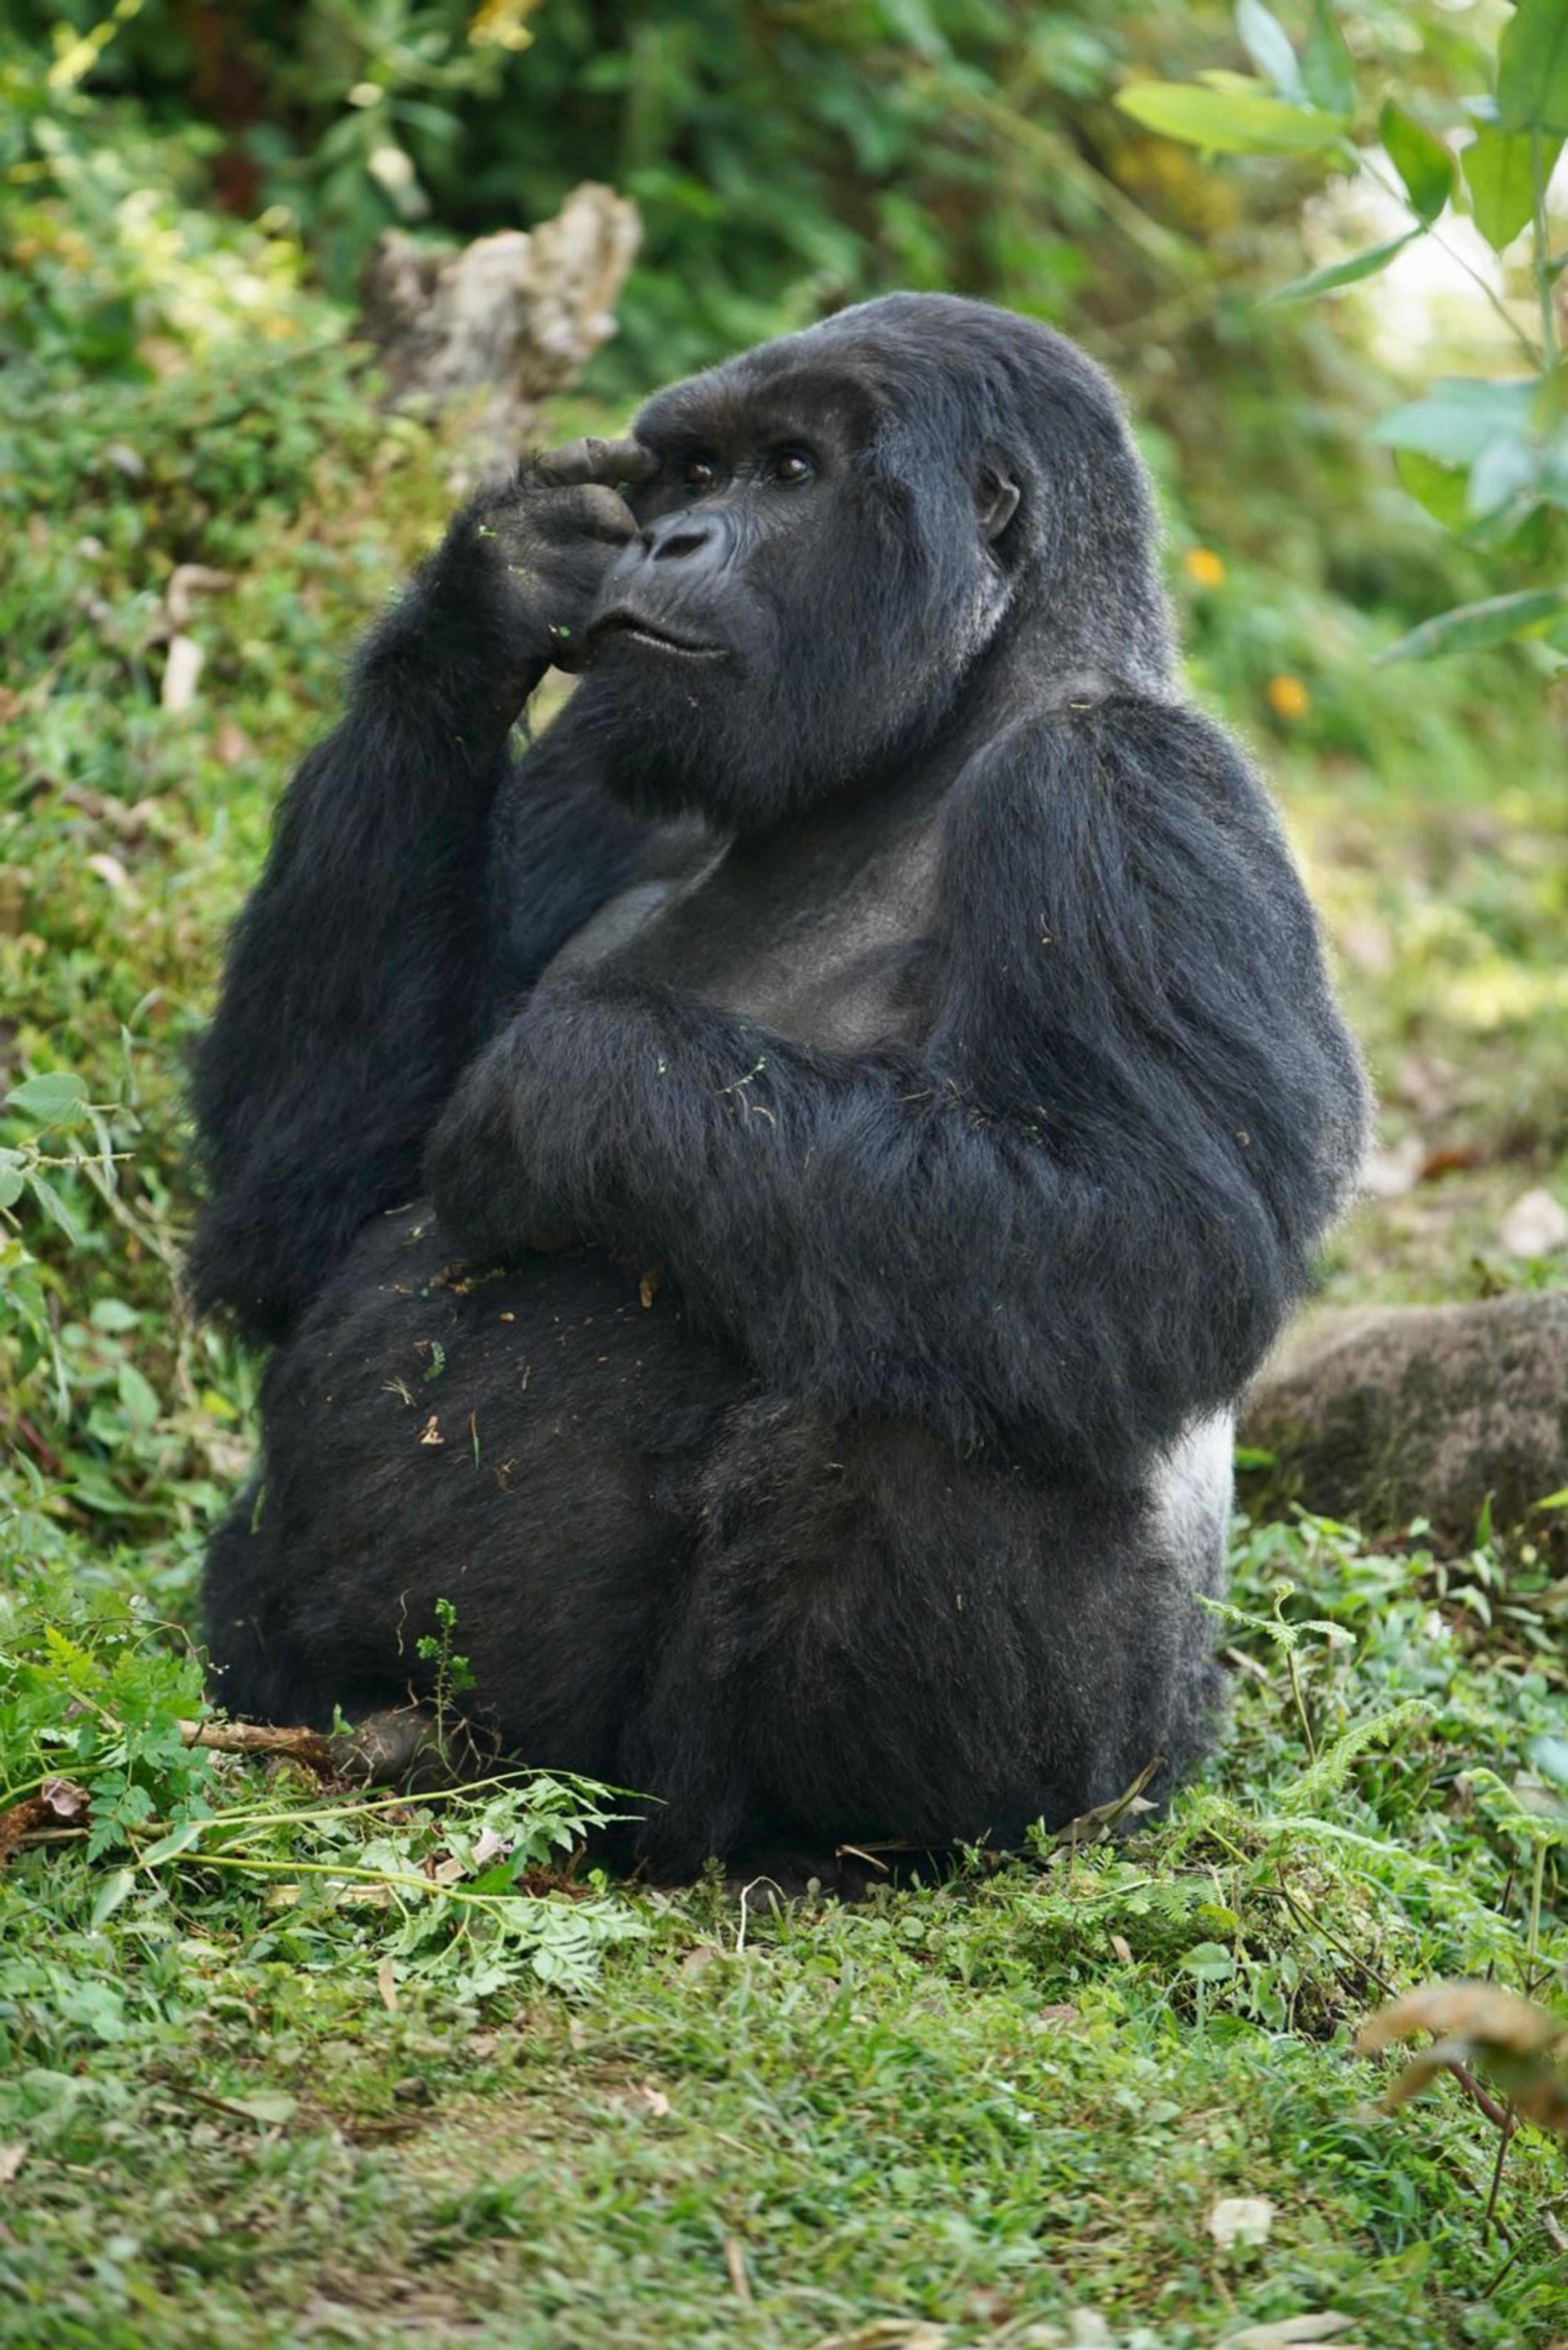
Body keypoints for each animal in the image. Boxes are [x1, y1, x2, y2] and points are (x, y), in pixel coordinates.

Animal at [193, 294, 1373, 1871]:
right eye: (691, 473)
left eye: (794, 470)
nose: (676, 541)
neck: (919, 745)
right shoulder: (601, 755)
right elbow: (295, 1218)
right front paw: (488, 590)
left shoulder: (1131, 794)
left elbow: (1153, 1244)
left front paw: (558, 1089)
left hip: (1092, 1783)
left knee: (938, 1374)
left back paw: (820, 1838)